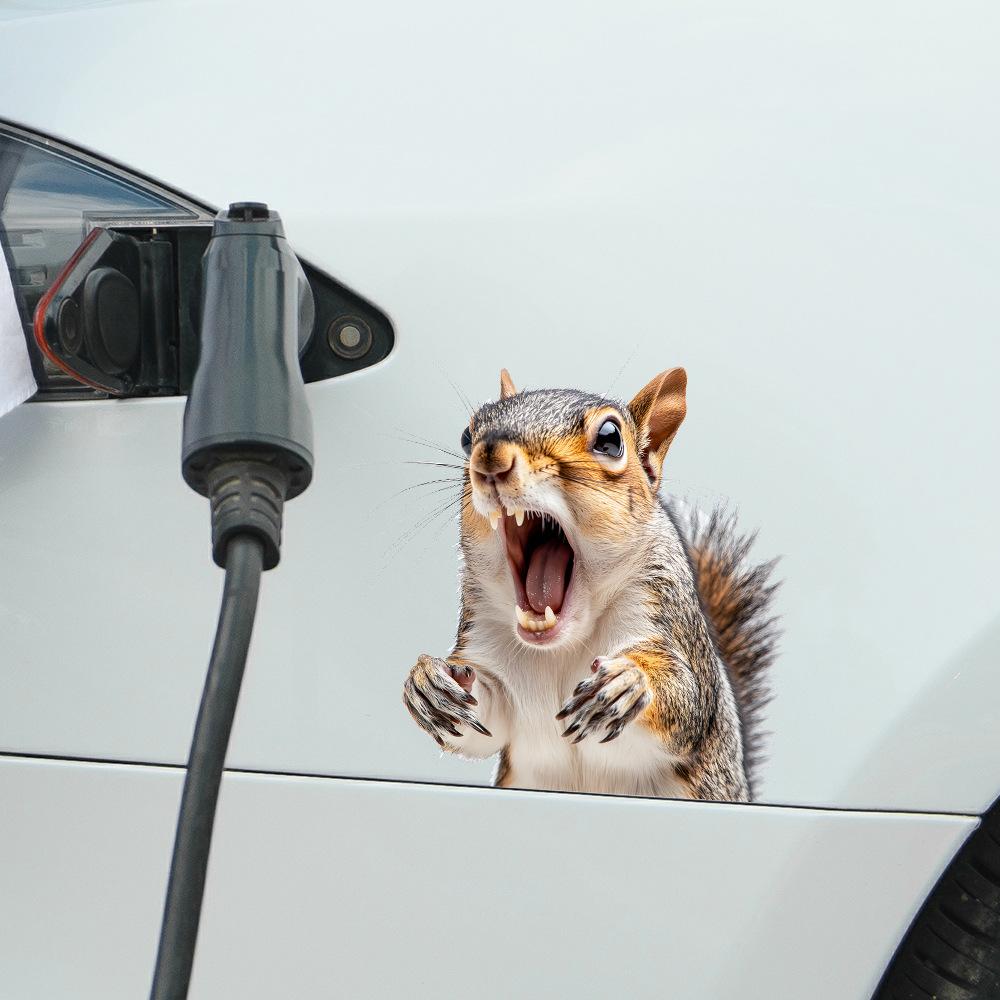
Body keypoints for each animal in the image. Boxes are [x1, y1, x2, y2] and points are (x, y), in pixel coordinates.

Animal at [402, 367, 779, 802]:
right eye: (467, 435)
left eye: (610, 439)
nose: (490, 458)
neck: (562, 646)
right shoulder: (488, 646)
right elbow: (485, 725)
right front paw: (427, 683)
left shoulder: (665, 614)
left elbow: (690, 700)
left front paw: (627, 681)